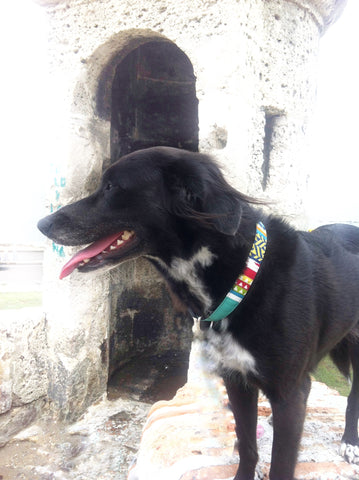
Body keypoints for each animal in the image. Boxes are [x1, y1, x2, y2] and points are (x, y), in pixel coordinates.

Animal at [38, 147, 359, 480]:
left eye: (111, 187)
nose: (42, 224)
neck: (243, 277)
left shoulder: (288, 392)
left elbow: (282, 465)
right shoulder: (237, 379)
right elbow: (247, 444)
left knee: (353, 397)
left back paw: (350, 443)